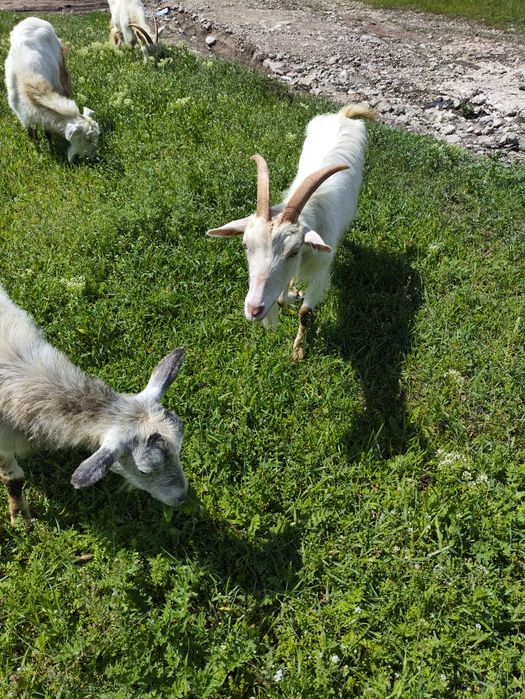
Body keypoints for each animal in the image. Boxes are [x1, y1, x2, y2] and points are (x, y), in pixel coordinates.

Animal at [4, 17, 100, 163]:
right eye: (87, 139)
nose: (94, 157)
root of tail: (32, 18)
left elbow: (48, 133)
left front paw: (51, 151)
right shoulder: (21, 114)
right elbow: (30, 133)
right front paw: (37, 150)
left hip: (61, 65)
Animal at [207, 104, 375, 360]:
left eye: (294, 251)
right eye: (245, 245)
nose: (254, 309)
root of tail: (343, 116)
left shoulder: (321, 270)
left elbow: (305, 313)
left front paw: (298, 350)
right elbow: (281, 298)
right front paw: (291, 295)